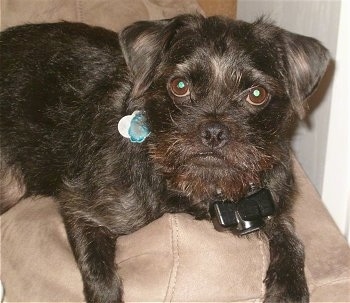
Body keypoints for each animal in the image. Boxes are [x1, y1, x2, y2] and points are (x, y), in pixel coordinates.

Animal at [0, 14, 328, 303]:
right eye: (180, 86)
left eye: (257, 94)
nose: (214, 131)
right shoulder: (82, 208)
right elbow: (101, 275)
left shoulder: (271, 200)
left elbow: (292, 240)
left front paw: (289, 288)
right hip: (11, 185)